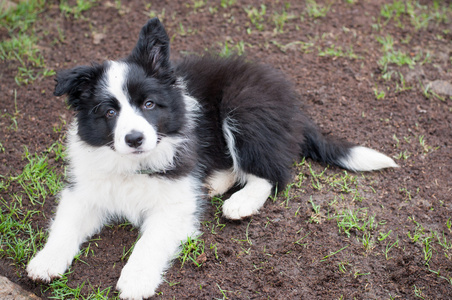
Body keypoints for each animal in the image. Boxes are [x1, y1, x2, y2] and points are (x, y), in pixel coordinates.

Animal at [26, 18, 398, 298]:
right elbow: (65, 223)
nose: (134, 139)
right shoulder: (85, 189)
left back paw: (241, 202)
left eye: (149, 104)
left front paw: (136, 279)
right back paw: (214, 182)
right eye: (108, 112)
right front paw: (46, 261)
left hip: (244, 107)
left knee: (271, 172)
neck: (133, 165)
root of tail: (293, 106)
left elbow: (150, 241)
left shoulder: (174, 205)